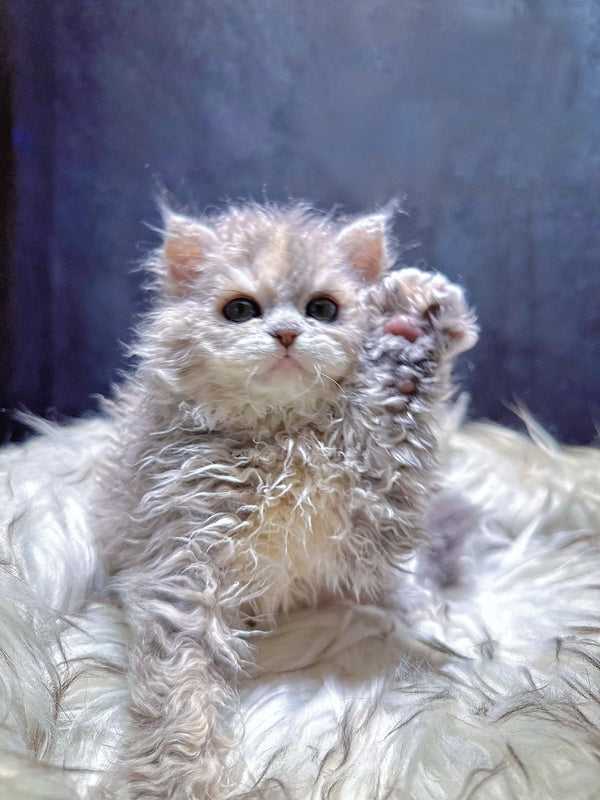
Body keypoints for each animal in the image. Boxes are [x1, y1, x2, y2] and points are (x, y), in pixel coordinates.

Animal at [96, 205, 476, 800]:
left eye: (322, 309)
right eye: (240, 310)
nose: (286, 332)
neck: (281, 438)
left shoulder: (375, 509)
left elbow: (394, 416)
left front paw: (410, 336)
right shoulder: (183, 565)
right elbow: (180, 683)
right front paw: (175, 775)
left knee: (412, 584)